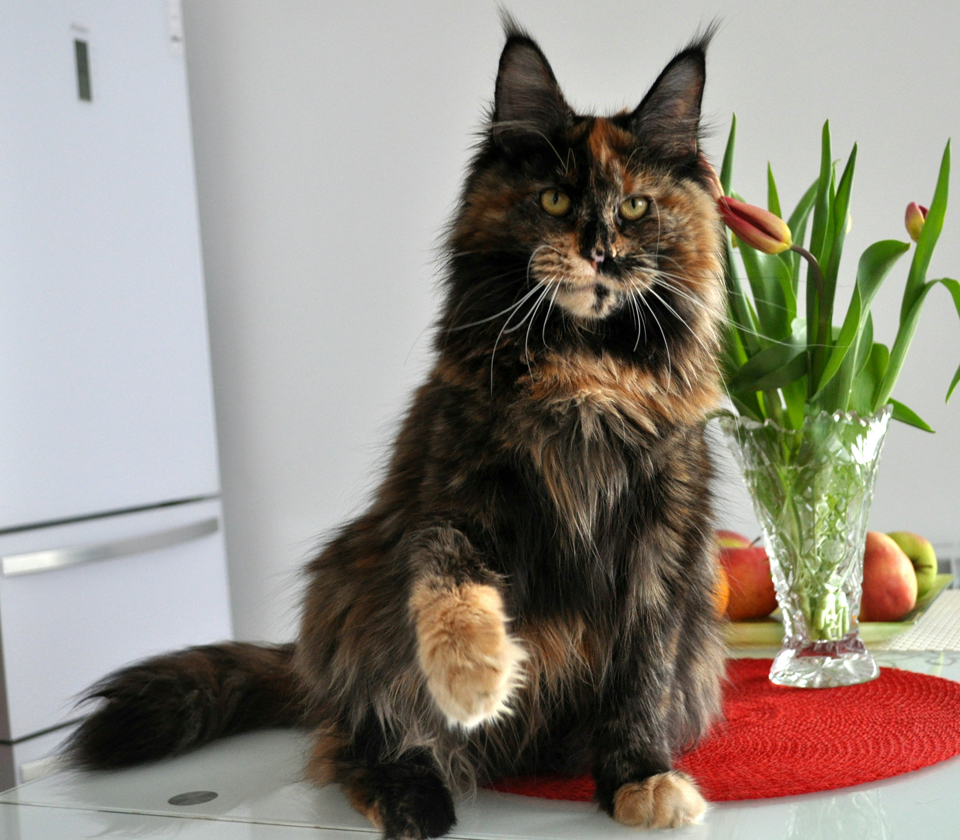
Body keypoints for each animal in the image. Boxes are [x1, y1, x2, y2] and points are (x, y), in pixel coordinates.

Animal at [67, 19, 728, 840]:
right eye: (552, 199)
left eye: (636, 208)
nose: (600, 250)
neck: (583, 376)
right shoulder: (452, 500)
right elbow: (450, 585)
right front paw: (476, 679)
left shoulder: (662, 544)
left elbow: (642, 677)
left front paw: (637, 777)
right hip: (354, 589)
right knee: (364, 740)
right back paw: (415, 801)